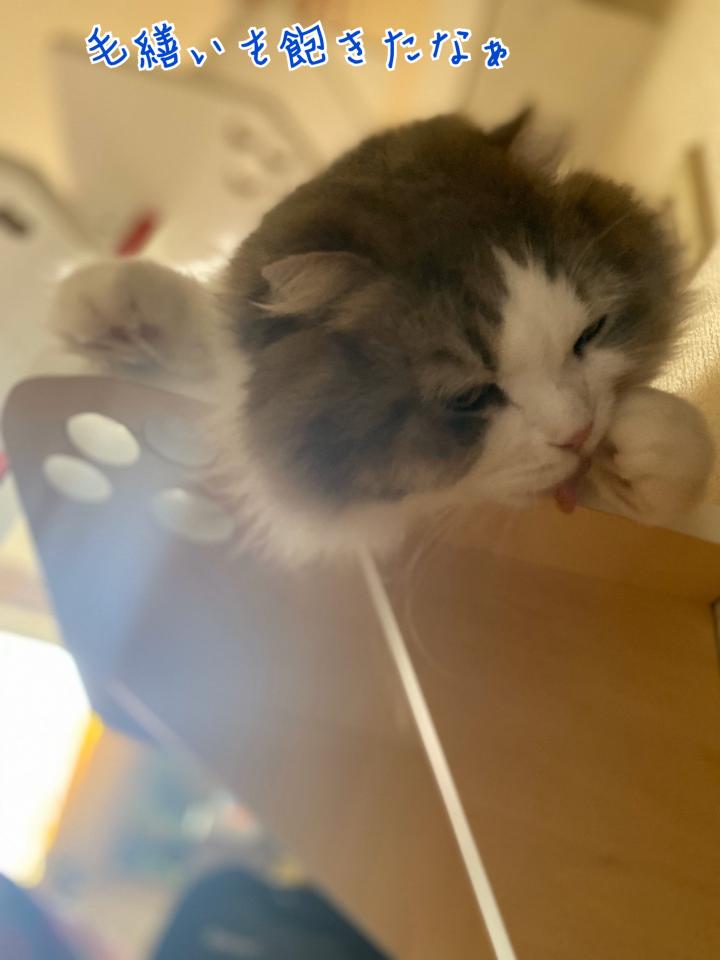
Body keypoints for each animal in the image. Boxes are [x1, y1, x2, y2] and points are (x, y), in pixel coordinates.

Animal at [52, 111, 715, 561]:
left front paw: (648, 442)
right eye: (469, 397)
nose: (579, 434)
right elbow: (208, 326)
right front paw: (106, 300)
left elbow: (685, 463)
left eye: (591, 333)